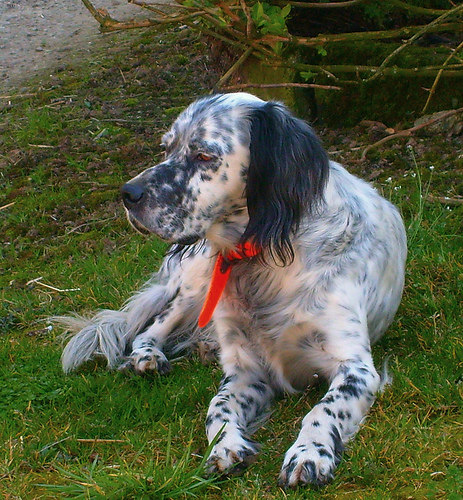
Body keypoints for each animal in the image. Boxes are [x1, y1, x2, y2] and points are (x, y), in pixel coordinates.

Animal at [59, 93, 407, 488]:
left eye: (203, 155)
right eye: (166, 148)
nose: (127, 193)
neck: (265, 255)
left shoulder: (356, 368)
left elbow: (323, 410)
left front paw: (309, 454)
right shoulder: (246, 371)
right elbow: (217, 406)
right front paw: (225, 447)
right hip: (195, 285)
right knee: (150, 329)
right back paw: (148, 358)